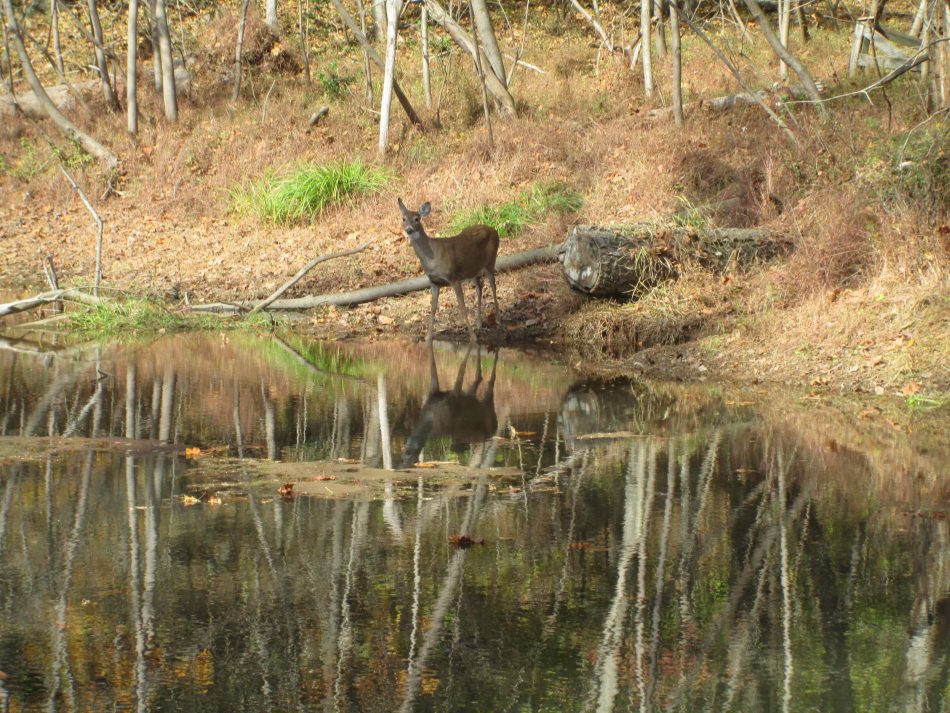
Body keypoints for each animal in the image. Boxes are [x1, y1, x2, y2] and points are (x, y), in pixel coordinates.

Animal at [396, 197, 502, 342]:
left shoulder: (453, 277)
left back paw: (498, 318)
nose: (409, 229)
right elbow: (433, 308)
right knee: (480, 286)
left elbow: (462, 306)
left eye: (417, 218)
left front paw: (473, 337)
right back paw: (479, 323)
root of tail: (494, 230)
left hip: (490, 261)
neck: (432, 258)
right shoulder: (433, 282)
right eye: (403, 218)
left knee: (493, 283)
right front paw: (428, 337)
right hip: (473, 269)